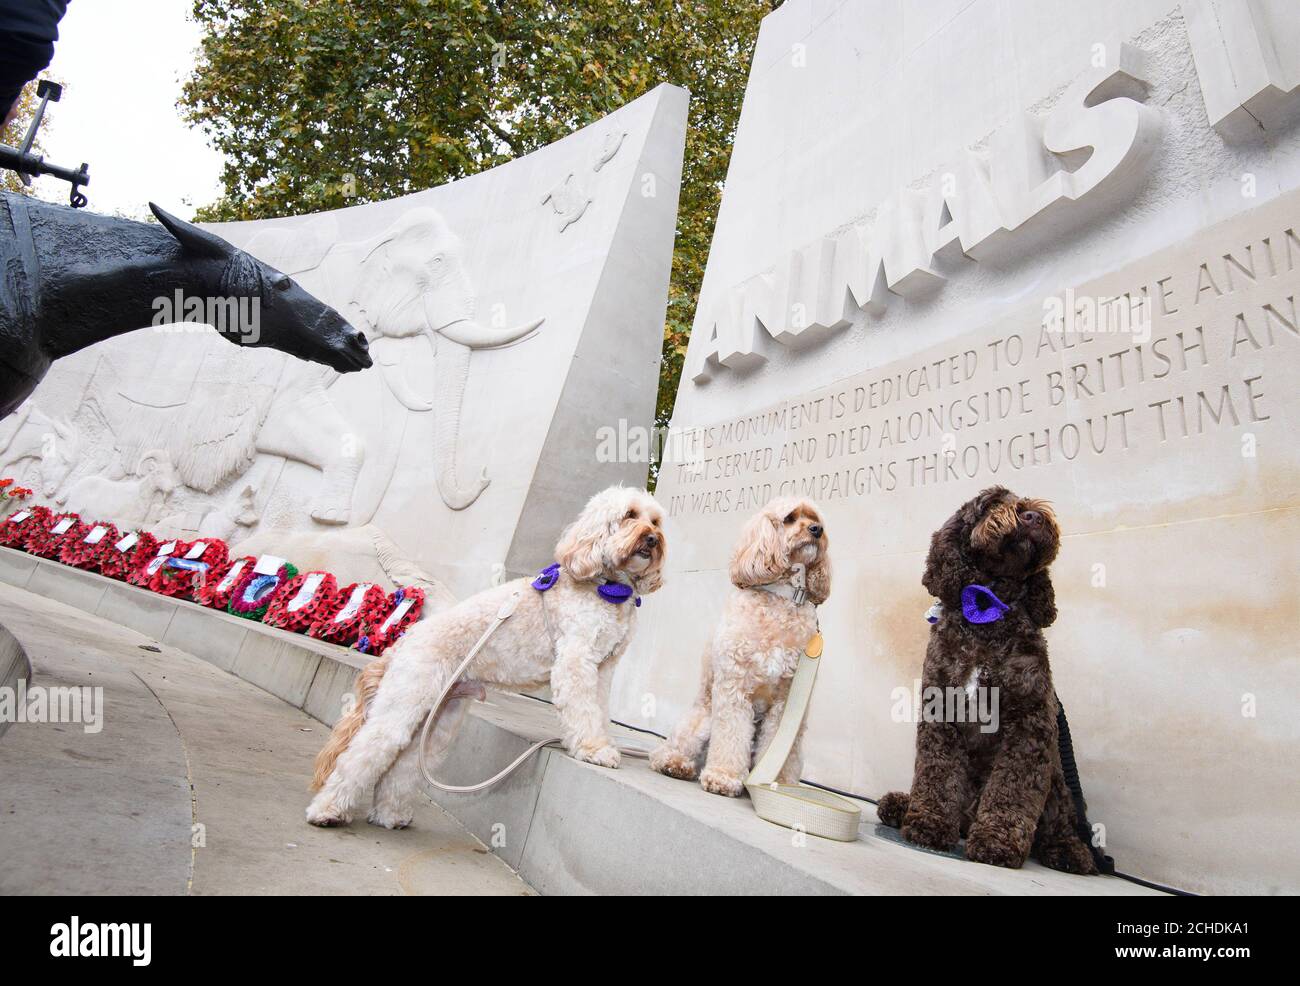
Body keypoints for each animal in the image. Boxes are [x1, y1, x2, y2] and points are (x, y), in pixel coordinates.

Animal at [308, 483, 665, 832]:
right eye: (630, 515)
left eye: (656, 521)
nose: (652, 538)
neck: (607, 588)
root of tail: (405, 640)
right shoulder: (576, 661)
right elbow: (583, 711)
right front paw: (593, 750)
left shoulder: (604, 668)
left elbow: (599, 711)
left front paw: (603, 743)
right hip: (403, 705)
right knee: (365, 752)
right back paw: (327, 810)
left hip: (438, 721)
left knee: (402, 763)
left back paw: (390, 815)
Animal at [650, 502, 832, 801]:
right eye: (790, 518)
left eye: (815, 518)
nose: (817, 530)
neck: (782, 598)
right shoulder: (734, 687)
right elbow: (731, 735)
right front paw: (723, 777)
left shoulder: (787, 702)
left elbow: (780, 747)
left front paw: (777, 784)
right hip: (702, 721)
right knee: (669, 749)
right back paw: (676, 764)